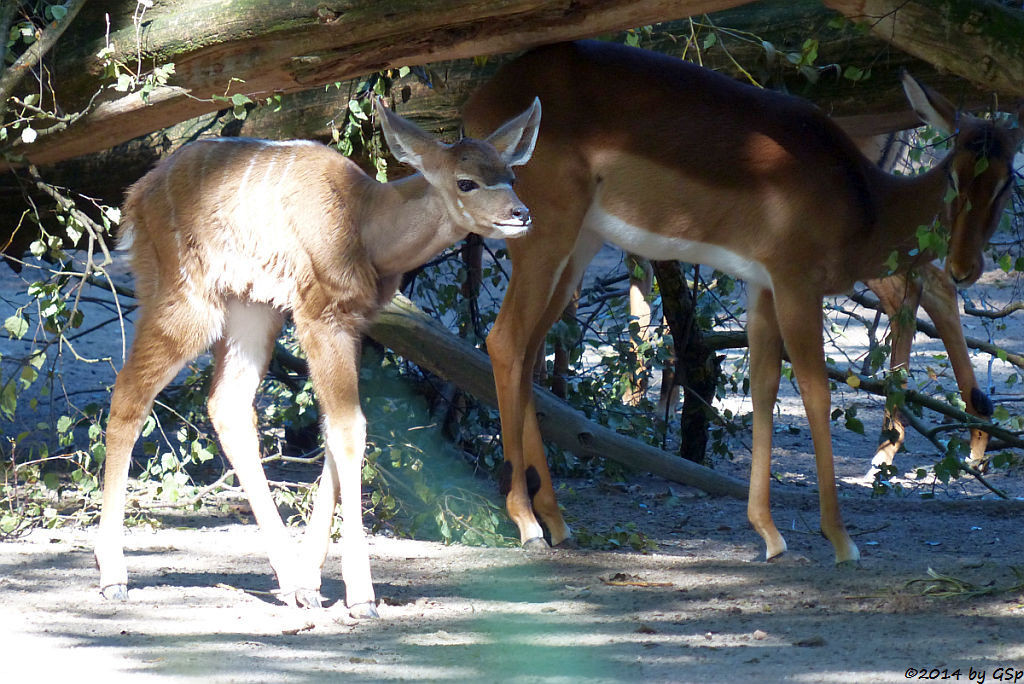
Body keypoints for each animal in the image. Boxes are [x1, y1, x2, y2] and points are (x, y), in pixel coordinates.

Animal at [96, 96, 544, 614]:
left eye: (511, 176)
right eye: (466, 181)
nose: (521, 214)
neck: (366, 220)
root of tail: (135, 199)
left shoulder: (350, 325)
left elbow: (335, 426)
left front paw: (312, 582)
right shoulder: (319, 318)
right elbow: (350, 428)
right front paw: (360, 595)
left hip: (252, 310)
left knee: (227, 404)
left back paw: (290, 581)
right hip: (188, 302)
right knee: (129, 392)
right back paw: (112, 575)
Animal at [464, 44, 1024, 565]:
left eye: (1006, 179)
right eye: (954, 175)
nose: (966, 265)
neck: (864, 200)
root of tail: (481, 104)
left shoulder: (762, 287)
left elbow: (764, 386)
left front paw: (770, 535)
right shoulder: (796, 285)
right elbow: (816, 392)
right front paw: (841, 540)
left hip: (574, 249)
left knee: (527, 354)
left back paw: (556, 521)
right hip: (546, 240)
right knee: (505, 341)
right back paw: (526, 521)